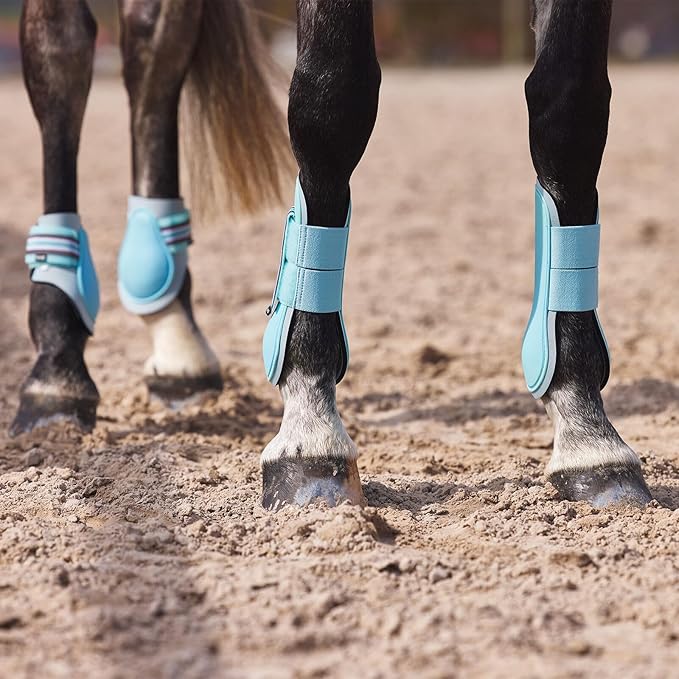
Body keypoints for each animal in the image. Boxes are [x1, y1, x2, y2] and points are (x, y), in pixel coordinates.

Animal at [12, 0, 652, 511]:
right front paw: (310, 424)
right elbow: (331, 94)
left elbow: (570, 107)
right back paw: (57, 361)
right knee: (60, 45)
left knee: (154, 41)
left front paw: (588, 430)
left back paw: (175, 336)